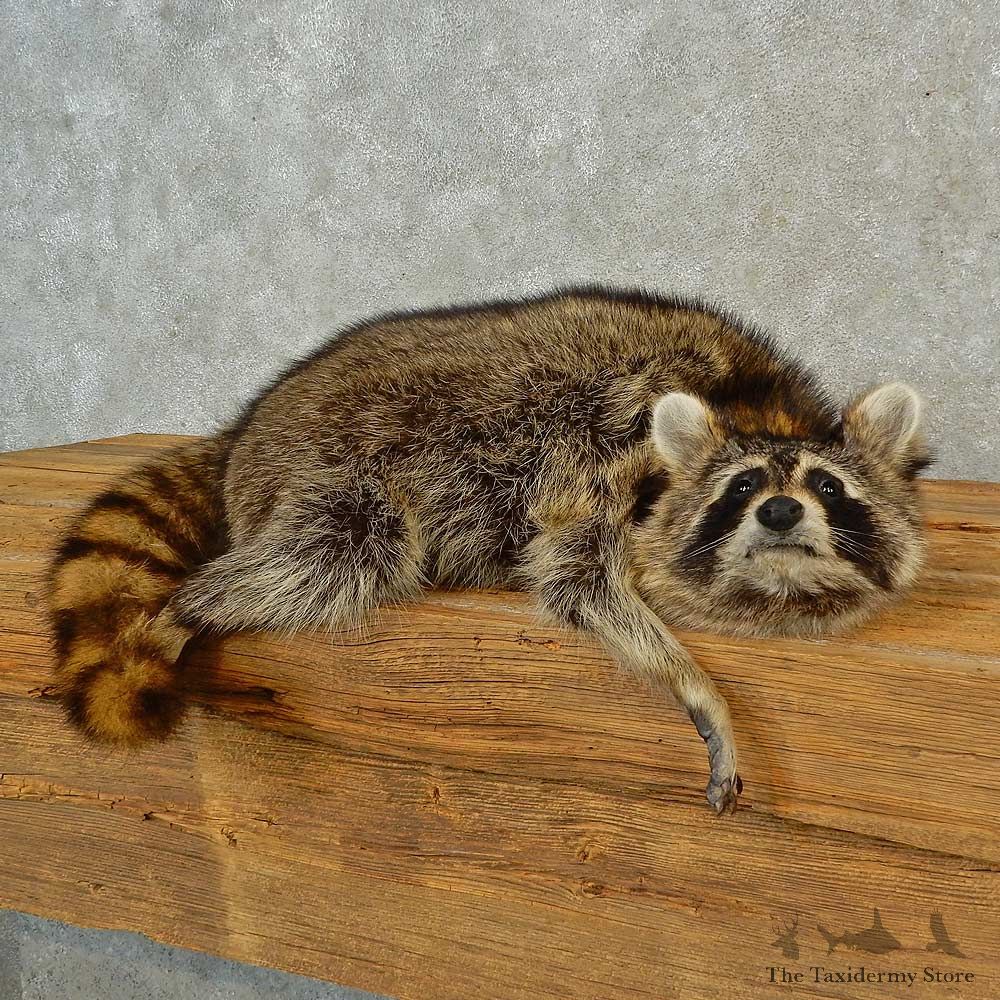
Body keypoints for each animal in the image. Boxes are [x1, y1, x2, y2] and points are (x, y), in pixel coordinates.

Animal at [46, 287, 930, 813]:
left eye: (827, 487)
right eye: (742, 488)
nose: (779, 512)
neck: (756, 407)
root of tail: (247, 426)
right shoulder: (598, 467)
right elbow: (576, 576)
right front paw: (693, 682)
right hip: (330, 466)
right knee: (336, 548)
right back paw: (191, 604)